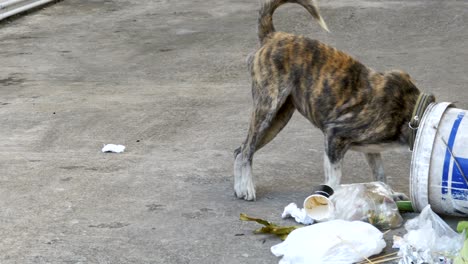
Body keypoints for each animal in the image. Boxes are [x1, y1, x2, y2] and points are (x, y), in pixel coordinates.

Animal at [232, 0, 434, 200]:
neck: (412, 112)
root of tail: (272, 36)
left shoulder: (371, 149)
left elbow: (380, 175)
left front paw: (389, 194)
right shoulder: (334, 136)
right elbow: (334, 180)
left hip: (278, 119)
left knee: (239, 150)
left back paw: (239, 187)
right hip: (267, 110)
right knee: (246, 151)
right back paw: (247, 187)